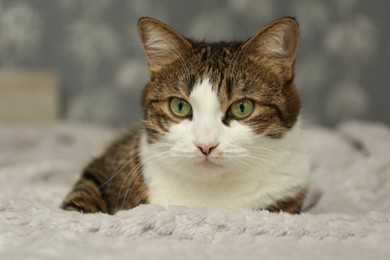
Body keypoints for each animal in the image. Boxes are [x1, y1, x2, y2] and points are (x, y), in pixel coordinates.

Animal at [61, 16, 310, 215]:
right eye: (179, 106)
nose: (205, 145)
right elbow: (81, 198)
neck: (208, 195)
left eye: (242, 108)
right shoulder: (108, 165)